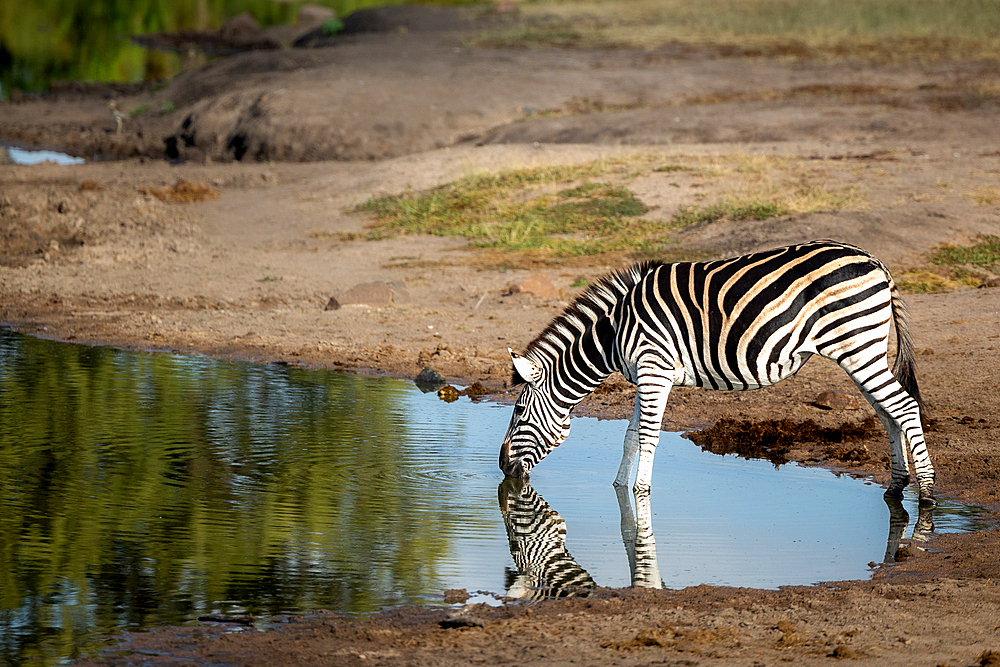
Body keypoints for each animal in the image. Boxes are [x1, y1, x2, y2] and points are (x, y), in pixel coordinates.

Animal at [500, 240, 936, 506]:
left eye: (519, 411)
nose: (502, 467)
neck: (613, 333)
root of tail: (875, 262)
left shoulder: (654, 369)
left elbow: (647, 437)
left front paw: (641, 493)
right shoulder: (647, 375)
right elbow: (630, 436)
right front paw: (620, 490)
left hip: (856, 345)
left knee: (904, 406)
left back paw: (927, 493)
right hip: (863, 349)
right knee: (888, 412)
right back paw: (896, 487)